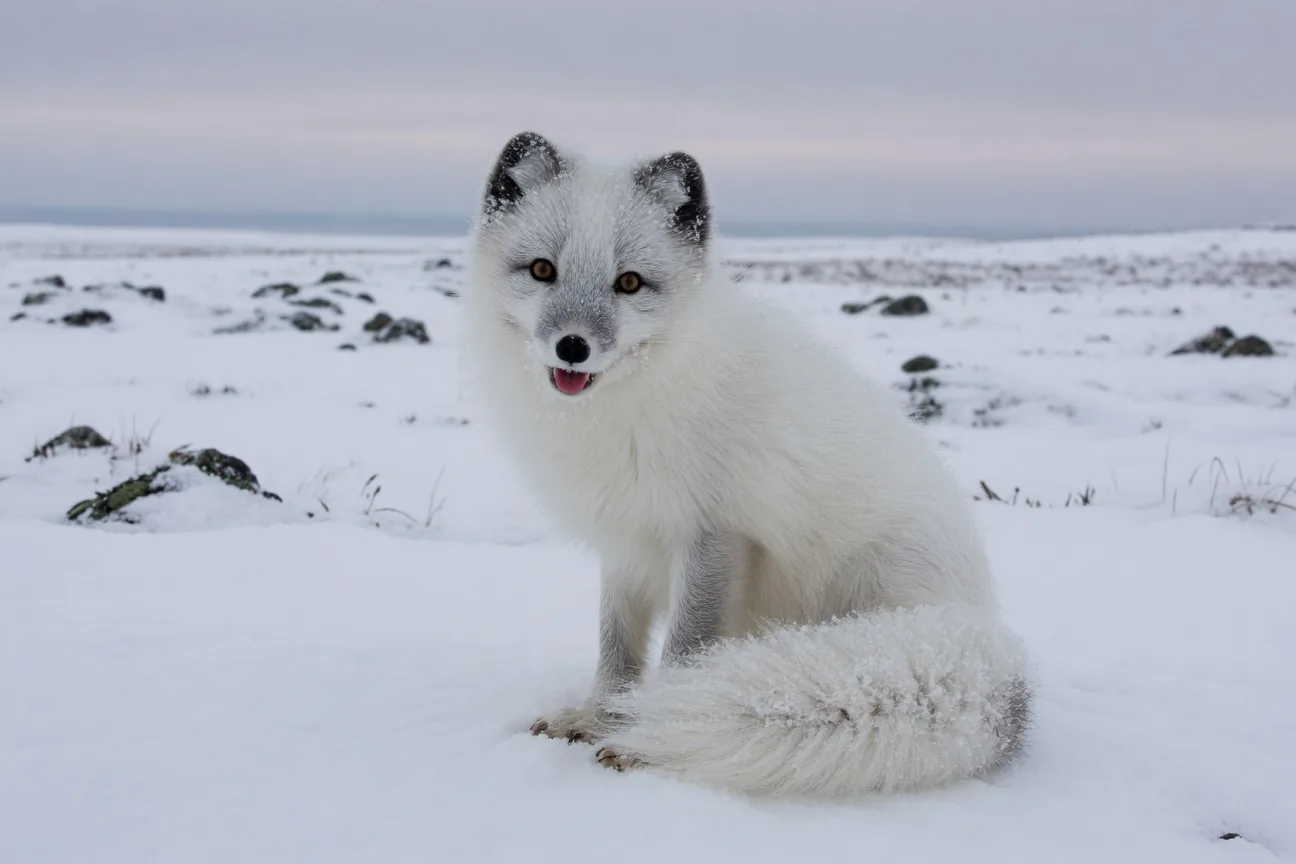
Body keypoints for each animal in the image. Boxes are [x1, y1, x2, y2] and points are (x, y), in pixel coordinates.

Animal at [462, 131, 1031, 798]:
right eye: (542, 270)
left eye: (629, 282)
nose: (572, 346)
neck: (632, 405)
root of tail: (988, 646)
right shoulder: (626, 540)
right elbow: (616, 647)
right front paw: (597, 715)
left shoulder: (715, 534)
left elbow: (685, 649)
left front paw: (648, 735)